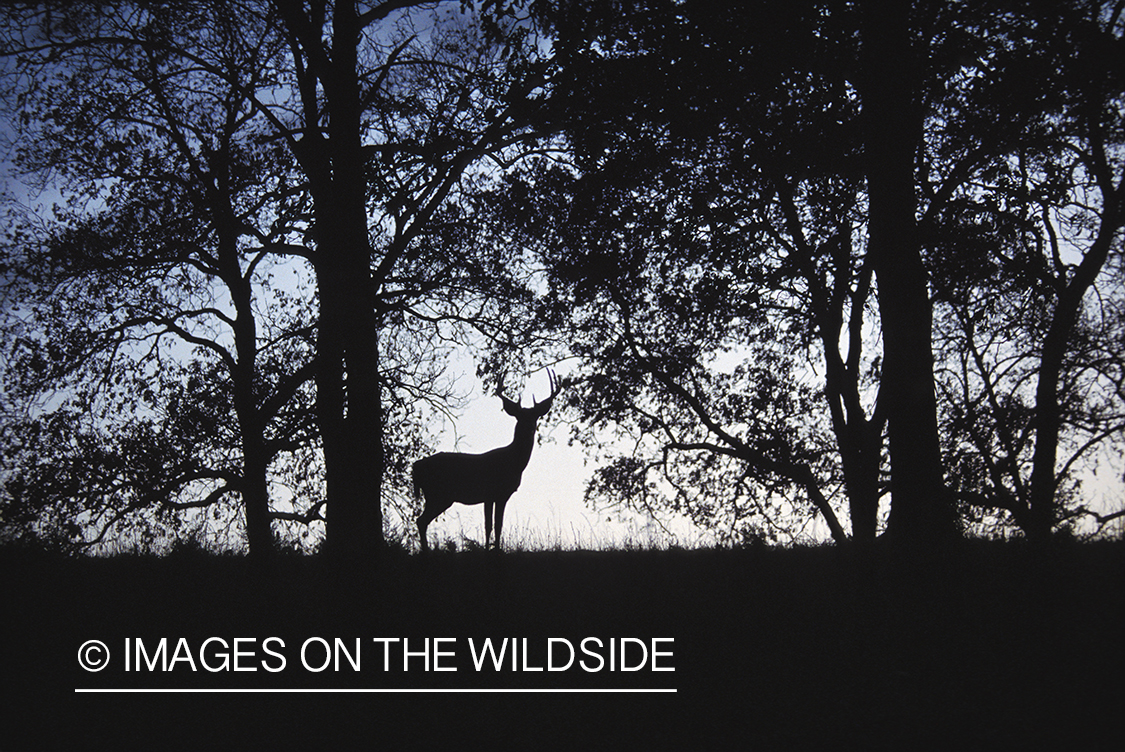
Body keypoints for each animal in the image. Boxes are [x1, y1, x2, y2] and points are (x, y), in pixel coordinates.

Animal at [413, 369, 562, 552]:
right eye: (519, 417)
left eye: (534, 417)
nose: (529, 428)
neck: (513, 463)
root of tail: (416, 466)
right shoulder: (491, 493)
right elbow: (490, 525)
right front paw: (490, 550)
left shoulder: (500, 495)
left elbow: (497, 525)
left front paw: (495, 549)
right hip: (438, 494)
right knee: (421, 520)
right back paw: (425, 550)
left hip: (437, 495)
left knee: (421, 520)